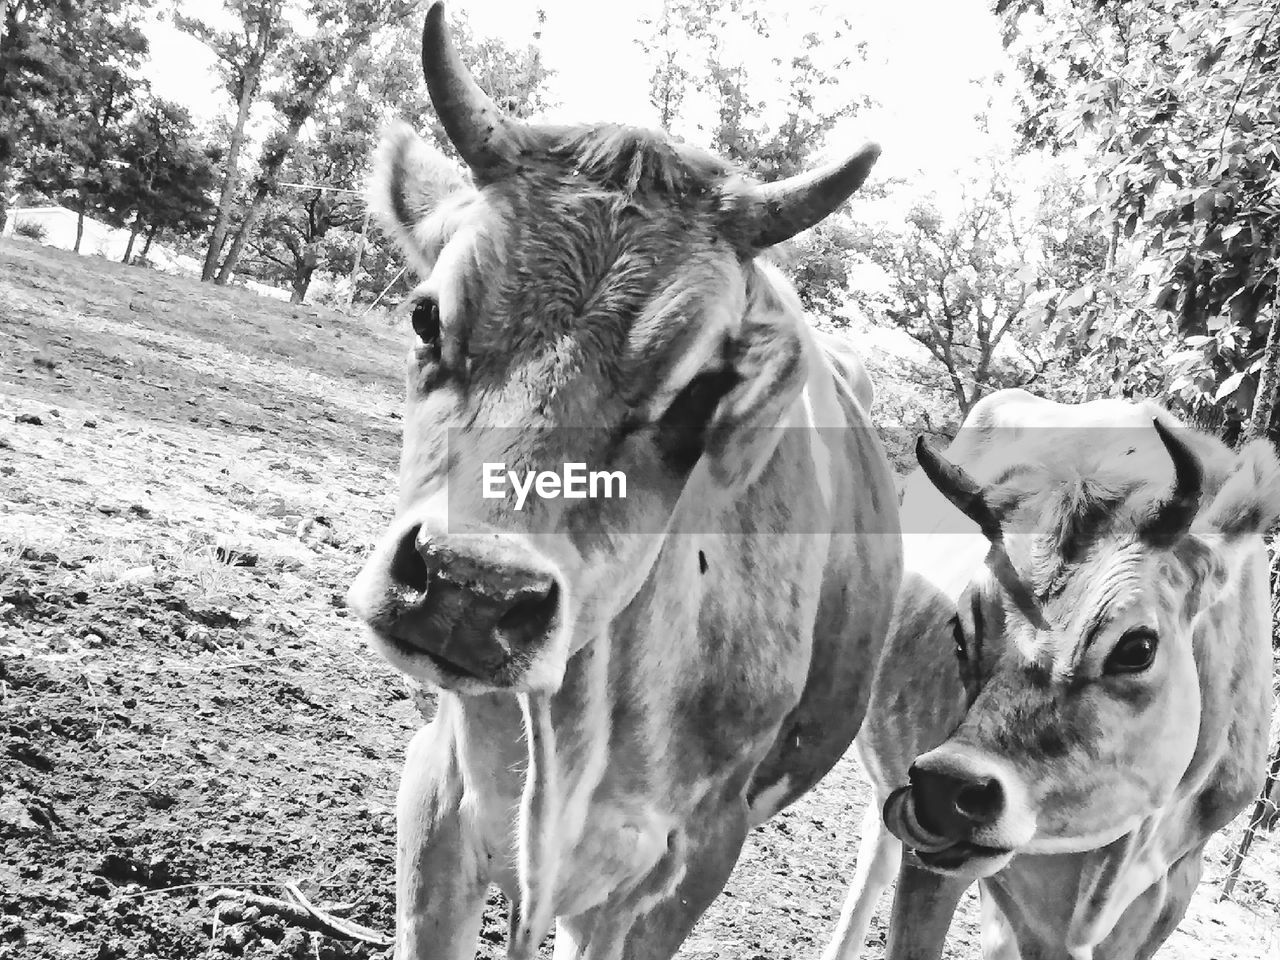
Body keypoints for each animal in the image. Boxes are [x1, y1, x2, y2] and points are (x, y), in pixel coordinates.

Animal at [819, 391, 1280, 960]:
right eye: (960, 630)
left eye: (1138, 648)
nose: (945, 789)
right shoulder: (939, 857)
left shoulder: (1174, 887)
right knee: (875, 856)